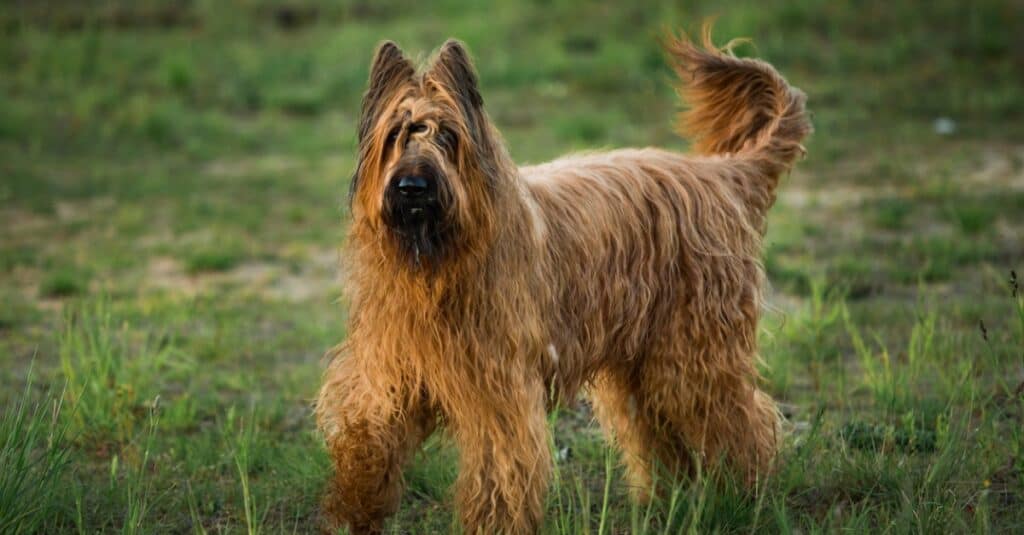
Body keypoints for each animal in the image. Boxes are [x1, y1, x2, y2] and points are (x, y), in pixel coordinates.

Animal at [315, 22, 811, 528]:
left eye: (448, 136)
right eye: (396, 134)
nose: (412, 186)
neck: (434, 265)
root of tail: (722, 174)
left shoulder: (497, 388)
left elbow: (500, 469)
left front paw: (494, 526)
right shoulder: (390, 368)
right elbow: (369, 434)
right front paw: (354, 510)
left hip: (696, 354)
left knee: (742, 423)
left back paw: (746, 497)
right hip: (643, 361)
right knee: (657, 427)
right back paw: (665, 499)